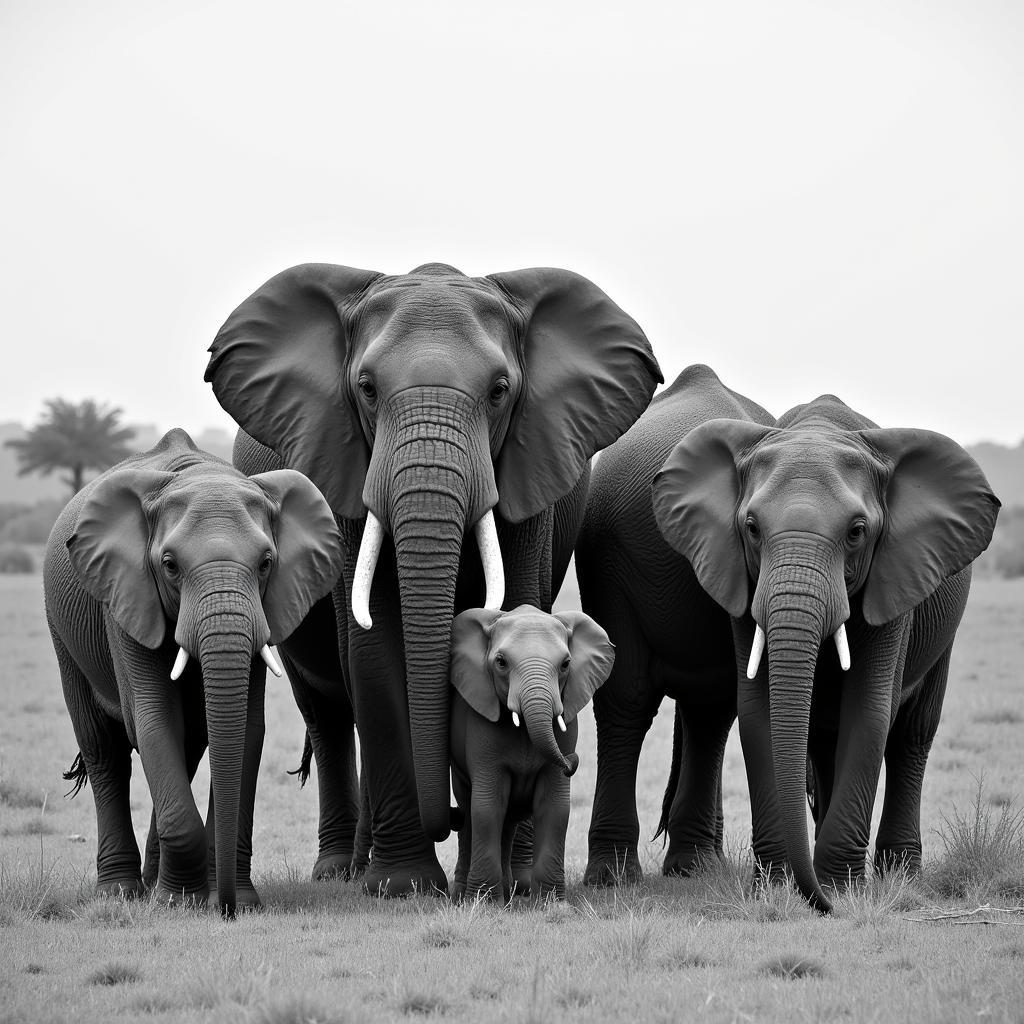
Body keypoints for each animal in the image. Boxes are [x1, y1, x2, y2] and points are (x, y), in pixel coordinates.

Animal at [44, 428, 342, 917]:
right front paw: (179, 903)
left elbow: (246, 728)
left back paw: (152, 883)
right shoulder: (126, 597)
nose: (227, 911)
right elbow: (153, 717)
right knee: (104, 750)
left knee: (185, 749)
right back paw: (121, 891)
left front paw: (232, 898)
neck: (198, 476)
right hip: (62, 632)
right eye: (169, 565)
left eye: (266, 563)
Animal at [450, 602, 610, 901]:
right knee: (469, 811)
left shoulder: (567, 727)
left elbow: (554, 807)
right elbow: (487, 807)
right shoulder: (481, 730)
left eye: (566, 664)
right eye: (501, 662)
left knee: (509, 821)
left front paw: (551, 904)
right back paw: (463, 896)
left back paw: (508, 893)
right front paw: (484, 904)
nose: (572, 760)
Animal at [651, 391, 995, 913]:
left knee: (912, 735)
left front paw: (839, 888)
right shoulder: (741, 580)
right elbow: (757, 712)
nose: (819, 903)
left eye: (857, 531)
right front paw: (778, 886)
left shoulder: (893, 575)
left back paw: (900, 875)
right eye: (751, 527)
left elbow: (870, 711)